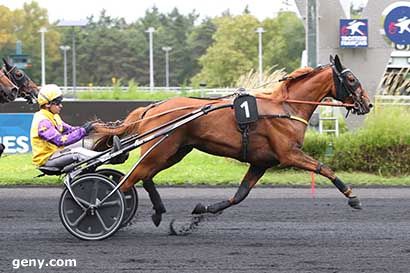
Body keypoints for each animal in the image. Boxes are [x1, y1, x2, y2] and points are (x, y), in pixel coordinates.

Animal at [92, 54, 372, 226]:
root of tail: (153, 107)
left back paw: (157, 212)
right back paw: (98, 209)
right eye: (351, 79)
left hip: (174, 151)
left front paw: (202, 210)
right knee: (130, 180)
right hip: (161, 150)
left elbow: (240, 195)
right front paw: (353, 197)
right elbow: (324, 167)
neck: (286, 107)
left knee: (144, 176)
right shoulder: (289, 154)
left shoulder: (261, 162)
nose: (368, 104)